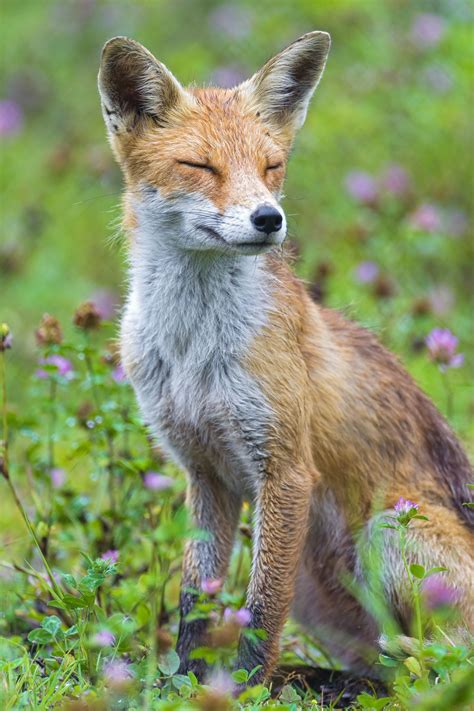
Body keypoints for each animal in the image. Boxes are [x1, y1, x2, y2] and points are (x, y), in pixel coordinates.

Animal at [98, 32, 472, 684]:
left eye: (271, 167)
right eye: (201, 166)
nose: (268, 218)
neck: (194, 347)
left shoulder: (286, 468)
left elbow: (261, 608)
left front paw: (246, 688)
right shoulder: (203, 471)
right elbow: (196, 600)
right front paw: (187, 681)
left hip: (386, 529)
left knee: (438, 661)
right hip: (319, 590)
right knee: (387, 667)